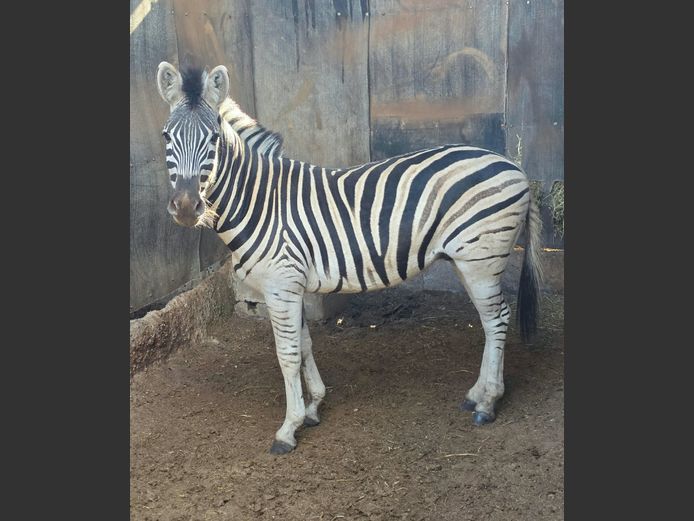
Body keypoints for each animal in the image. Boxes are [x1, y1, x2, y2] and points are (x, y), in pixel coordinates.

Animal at [155, 62, 543, 454]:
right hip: (468, 261)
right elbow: (305, 345)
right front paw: (313, 407)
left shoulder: (281, 286)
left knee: (497, 319)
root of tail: (512, 165)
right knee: (489, 322)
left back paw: (488, 403)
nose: (186, 207)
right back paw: (476, 394)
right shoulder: (293, 286)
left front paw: (289, 427)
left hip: (482, 259)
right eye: (166, 137)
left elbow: (287, 353)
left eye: (213, 140)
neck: (261, 202)